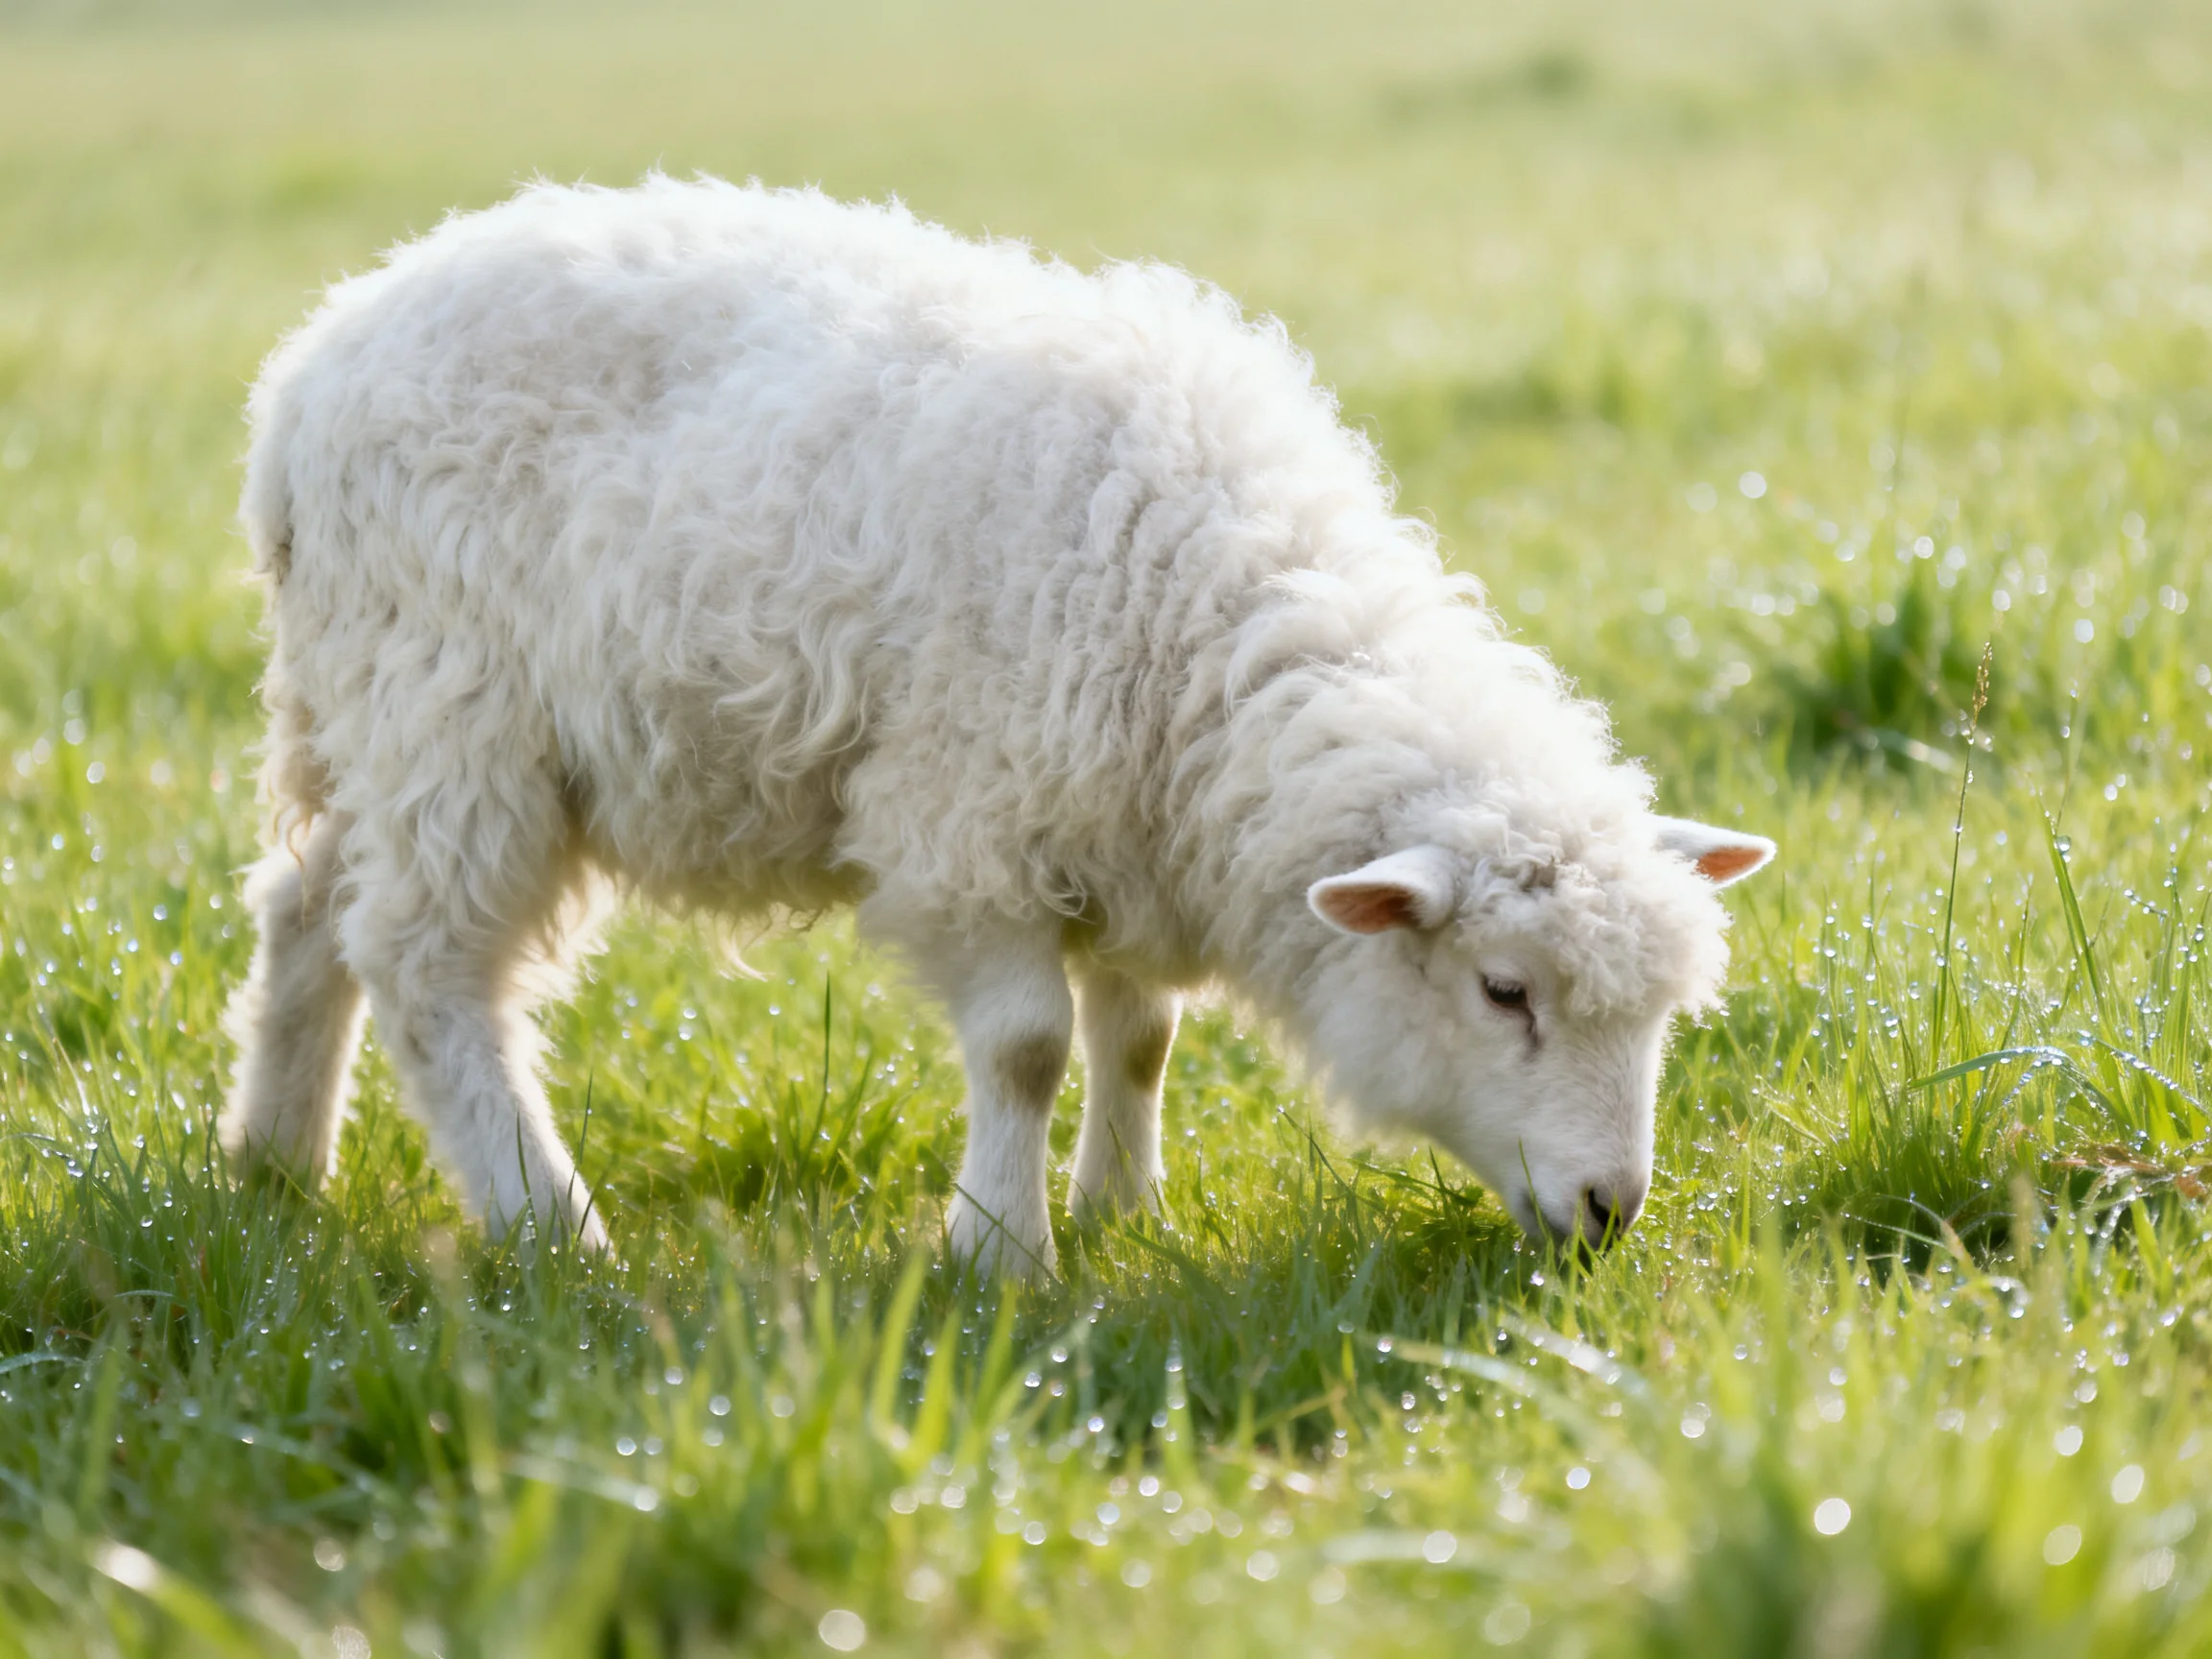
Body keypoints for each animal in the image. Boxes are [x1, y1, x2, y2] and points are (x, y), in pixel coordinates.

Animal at [219, 176, 1773, 1273]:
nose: (1611, 1209)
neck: (1205, 615)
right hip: (454, 715)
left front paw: (1124, 1209)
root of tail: (310, 368)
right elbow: (1029, 1044)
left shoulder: (1136, 830)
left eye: (1659, 1014)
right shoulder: (967, 822)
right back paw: (552, 1228)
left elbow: (1139, 1036)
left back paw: (273, 1165)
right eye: (1505, 992)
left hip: (358, 712)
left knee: (303, 909)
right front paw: (1001, 1249)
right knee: (425, 968)